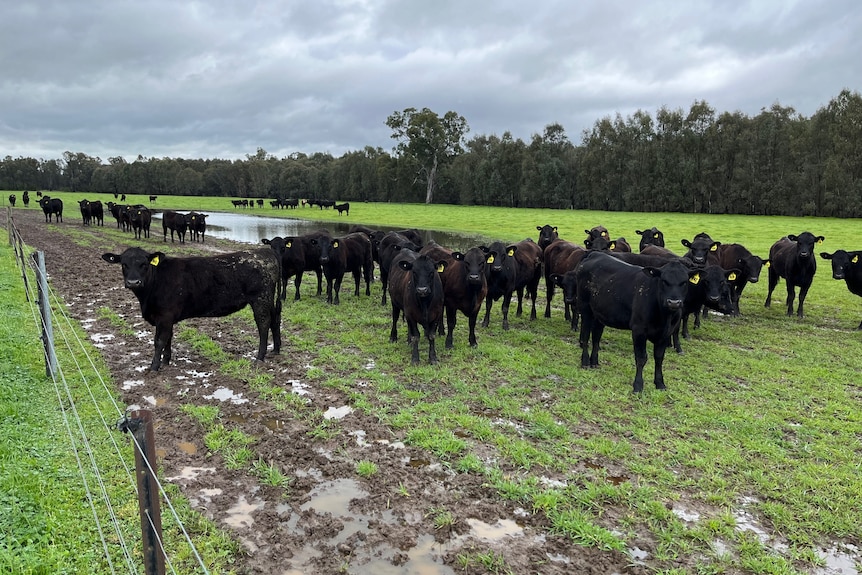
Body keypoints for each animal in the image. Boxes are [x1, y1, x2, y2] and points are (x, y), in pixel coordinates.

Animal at [103, 245, 282, 372]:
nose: (133, 282)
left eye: (144, 264)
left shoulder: (164, 316)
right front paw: (166, 361)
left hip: (260, 299)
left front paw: (154, 367)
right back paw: (276, 349)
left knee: (263, 324)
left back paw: (259, 357)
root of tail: (265, 251)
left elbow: (159, 341)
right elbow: (168, 338)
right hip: (268, 300)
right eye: (124, 264)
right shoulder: (167, 318)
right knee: (275, 320)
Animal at [576, 253, 700, 394]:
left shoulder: (665, 334)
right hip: (585, 307)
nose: (674, 302)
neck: (664, 318)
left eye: (684, 282)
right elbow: (641, 358)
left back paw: (595, 362)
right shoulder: (639, 330)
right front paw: (638, 386)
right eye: (663, 280)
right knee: (586, 335)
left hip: (600, 314)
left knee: (596, 337)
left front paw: (660, 383)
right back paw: (585, 362)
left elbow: (659, 358)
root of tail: (595, 254)